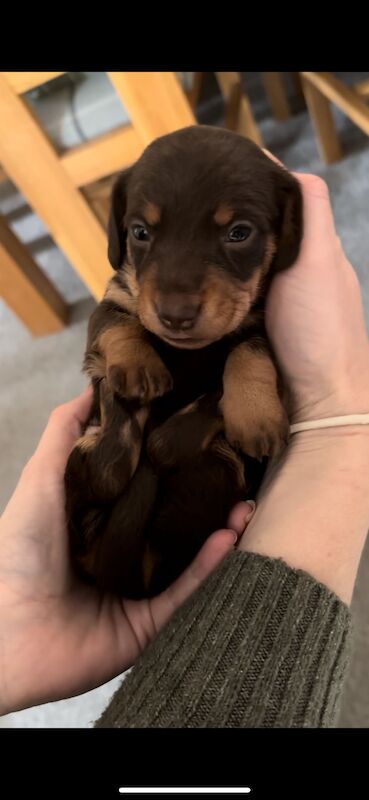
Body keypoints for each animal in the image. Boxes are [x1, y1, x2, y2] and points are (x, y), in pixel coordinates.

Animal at [64, 125, 302, 596]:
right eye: (139, 231)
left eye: (239, 232)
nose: (175, 314)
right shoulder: (115, 300)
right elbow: (119, 325)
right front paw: (137, 371)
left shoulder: (259, 324)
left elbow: (247, 354)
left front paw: (255, 416)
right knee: (108, 473)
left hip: (218, 469)